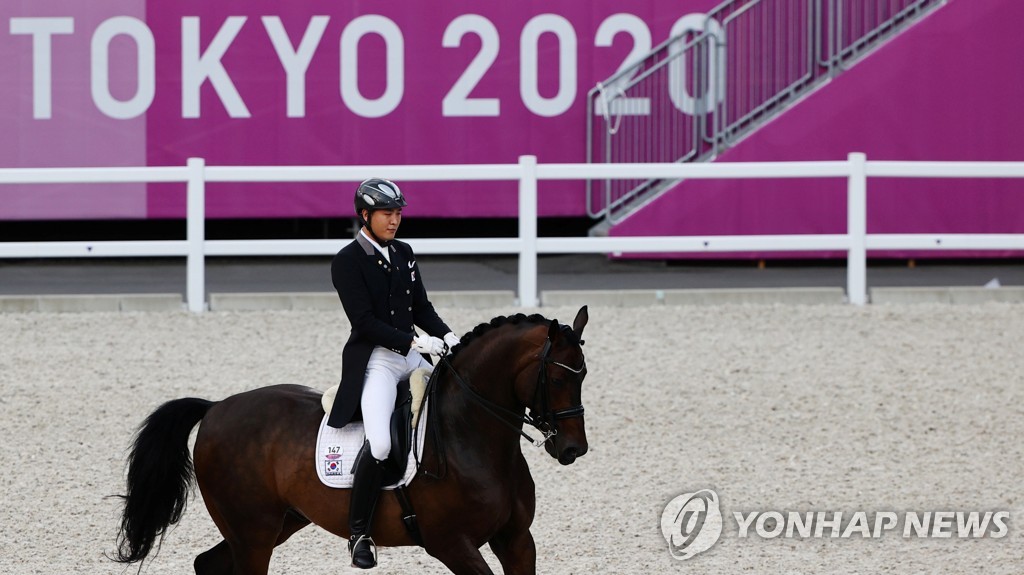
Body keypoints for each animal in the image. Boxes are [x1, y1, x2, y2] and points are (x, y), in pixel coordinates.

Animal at [112, 306, 589, 572]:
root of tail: (215, 408)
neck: (472, 440)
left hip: (280, 522)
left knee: (208, 564)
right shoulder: (452, 544)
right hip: (253, 531)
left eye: (583, 375)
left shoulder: (516, 539)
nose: (572, 449)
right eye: (556, 378)